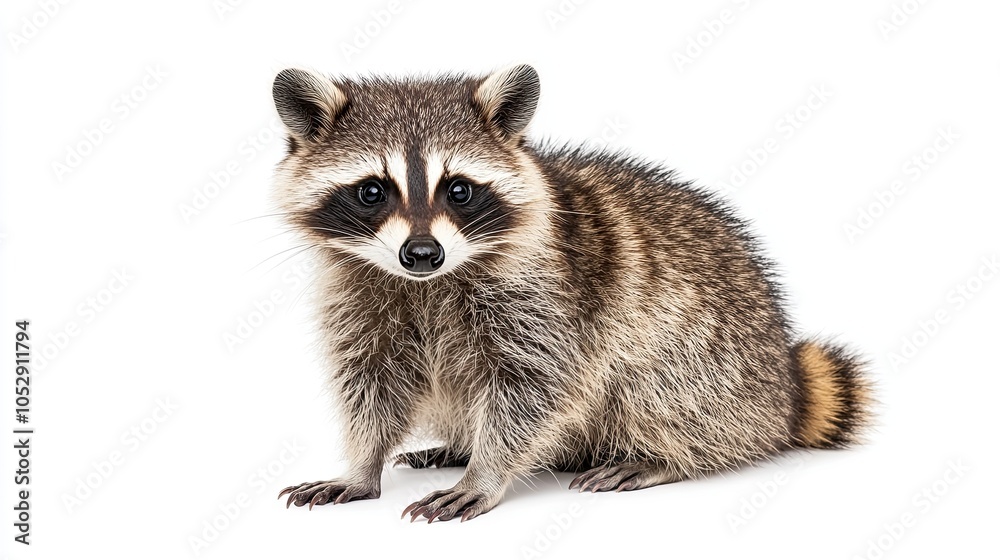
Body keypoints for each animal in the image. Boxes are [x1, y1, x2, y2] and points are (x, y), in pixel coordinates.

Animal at [272, 64, 872, 523]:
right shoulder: (358, 295)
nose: (422, 254)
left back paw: (663, 455)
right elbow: (371, 380)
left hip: (717, 359)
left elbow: (536, 387)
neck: (429, 284)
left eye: (459, 190)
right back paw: (458, 444)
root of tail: (784, 388)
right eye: (372, 191)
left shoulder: (552, 294)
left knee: (661, 386)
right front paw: (362, 464)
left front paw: (487, 472)